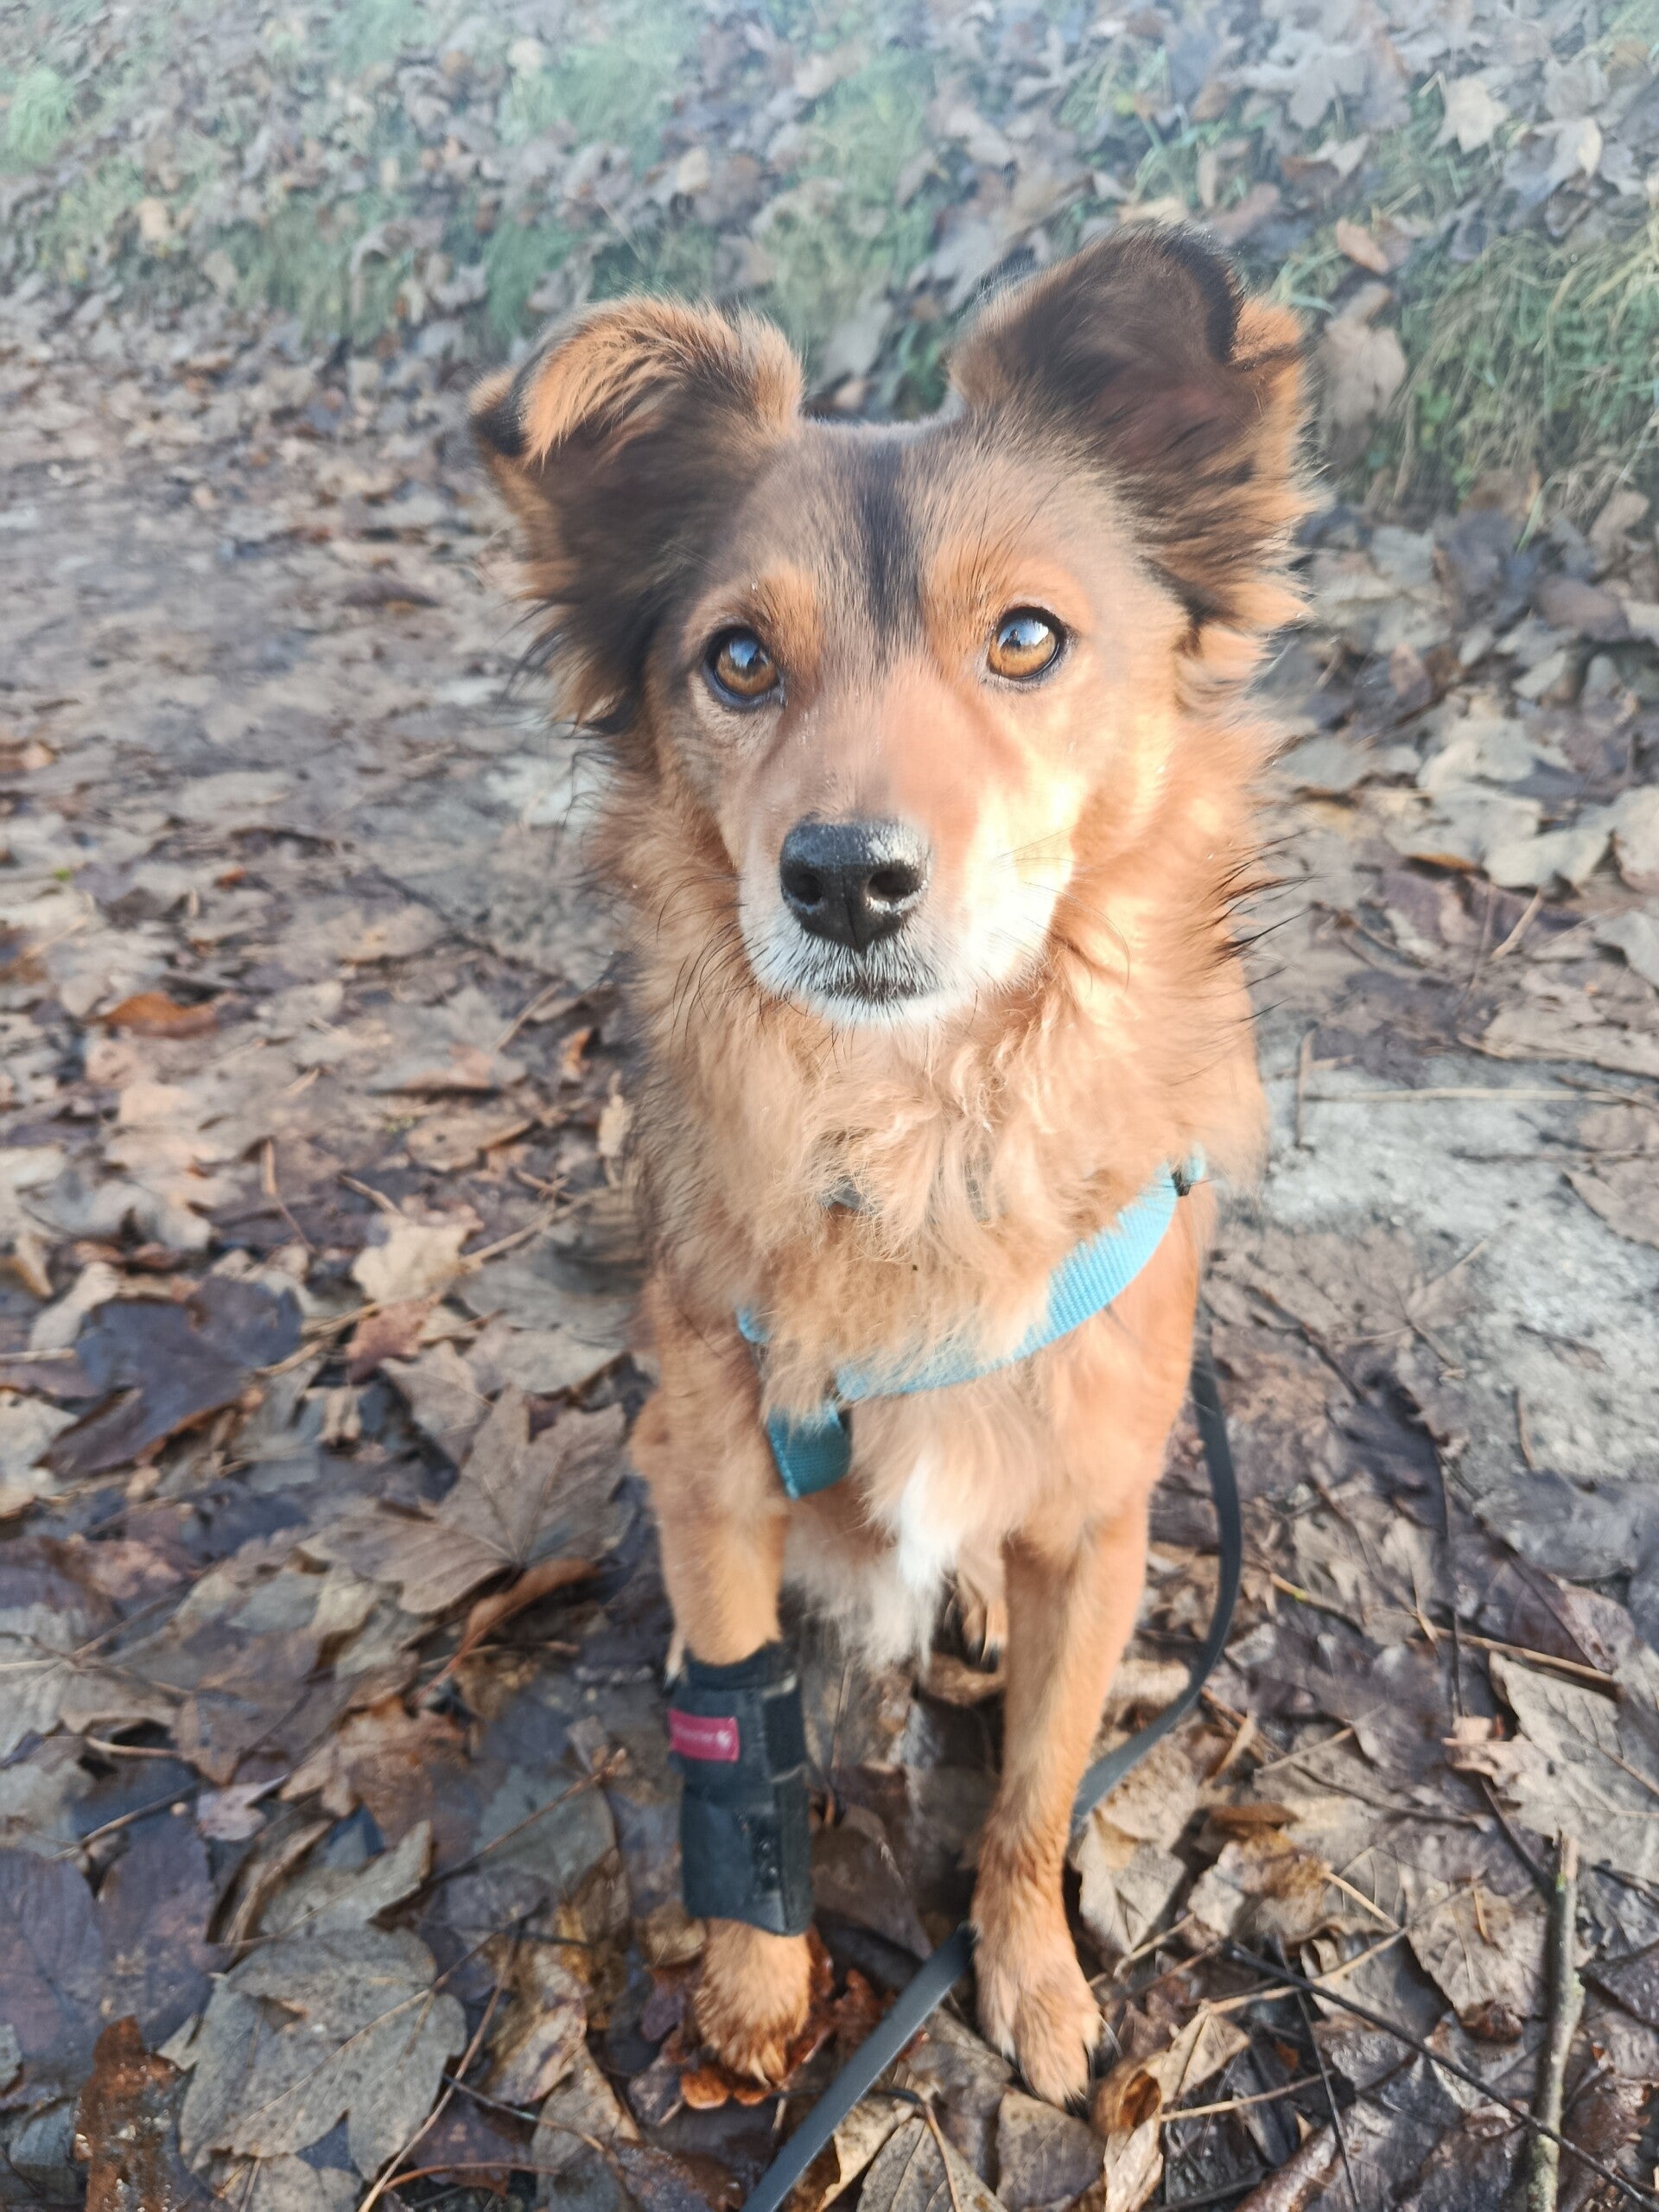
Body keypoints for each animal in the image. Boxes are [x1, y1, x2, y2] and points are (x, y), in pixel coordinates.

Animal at [473, 228, 1306, 2108]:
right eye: (734, 663)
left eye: (1028, 638)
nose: (845, 877)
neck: (920, 1131)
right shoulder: (715, 1477)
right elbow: (745, 1755)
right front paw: (754, 1985)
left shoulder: (1105, 1532)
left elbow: (1039, 1788)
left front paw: (1031, 1968)